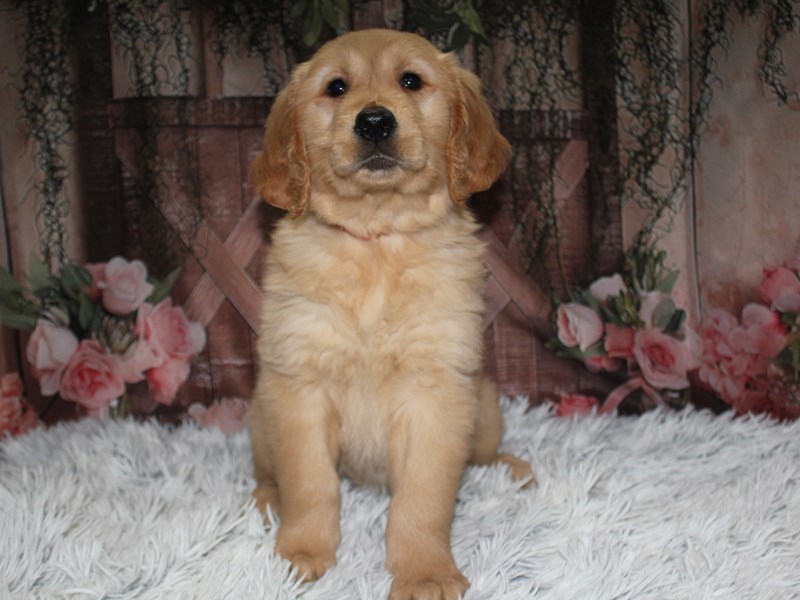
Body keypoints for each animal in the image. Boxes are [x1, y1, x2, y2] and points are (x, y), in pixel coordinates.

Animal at [248, 29, 534, 600]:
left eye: (411, 81)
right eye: (336, 87)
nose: (375, 121)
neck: (377, 240)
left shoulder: (437, 394)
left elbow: (423, 502)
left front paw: (425, 573)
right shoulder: (299, 388)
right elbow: (310, 485)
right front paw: (301, 555)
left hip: (485, 403)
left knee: (483, 456)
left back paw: (511, 468)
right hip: (258, 416)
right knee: (269, 474)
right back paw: (268, 502)